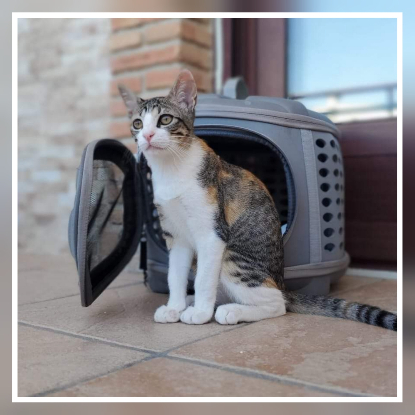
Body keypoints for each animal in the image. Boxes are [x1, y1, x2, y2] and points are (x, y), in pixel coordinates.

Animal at [119, 69, 397, 331]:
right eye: (137, 123)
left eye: (165, 119)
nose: (148, 136)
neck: (172, 168)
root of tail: (282, 282)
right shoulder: (176, 236)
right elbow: (174, 275)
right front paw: (174, 307)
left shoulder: (212, 234)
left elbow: (204, 280)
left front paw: (200, 313)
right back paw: (192, 302)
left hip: (233, 258)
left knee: (276, 304)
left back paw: (228, 310)